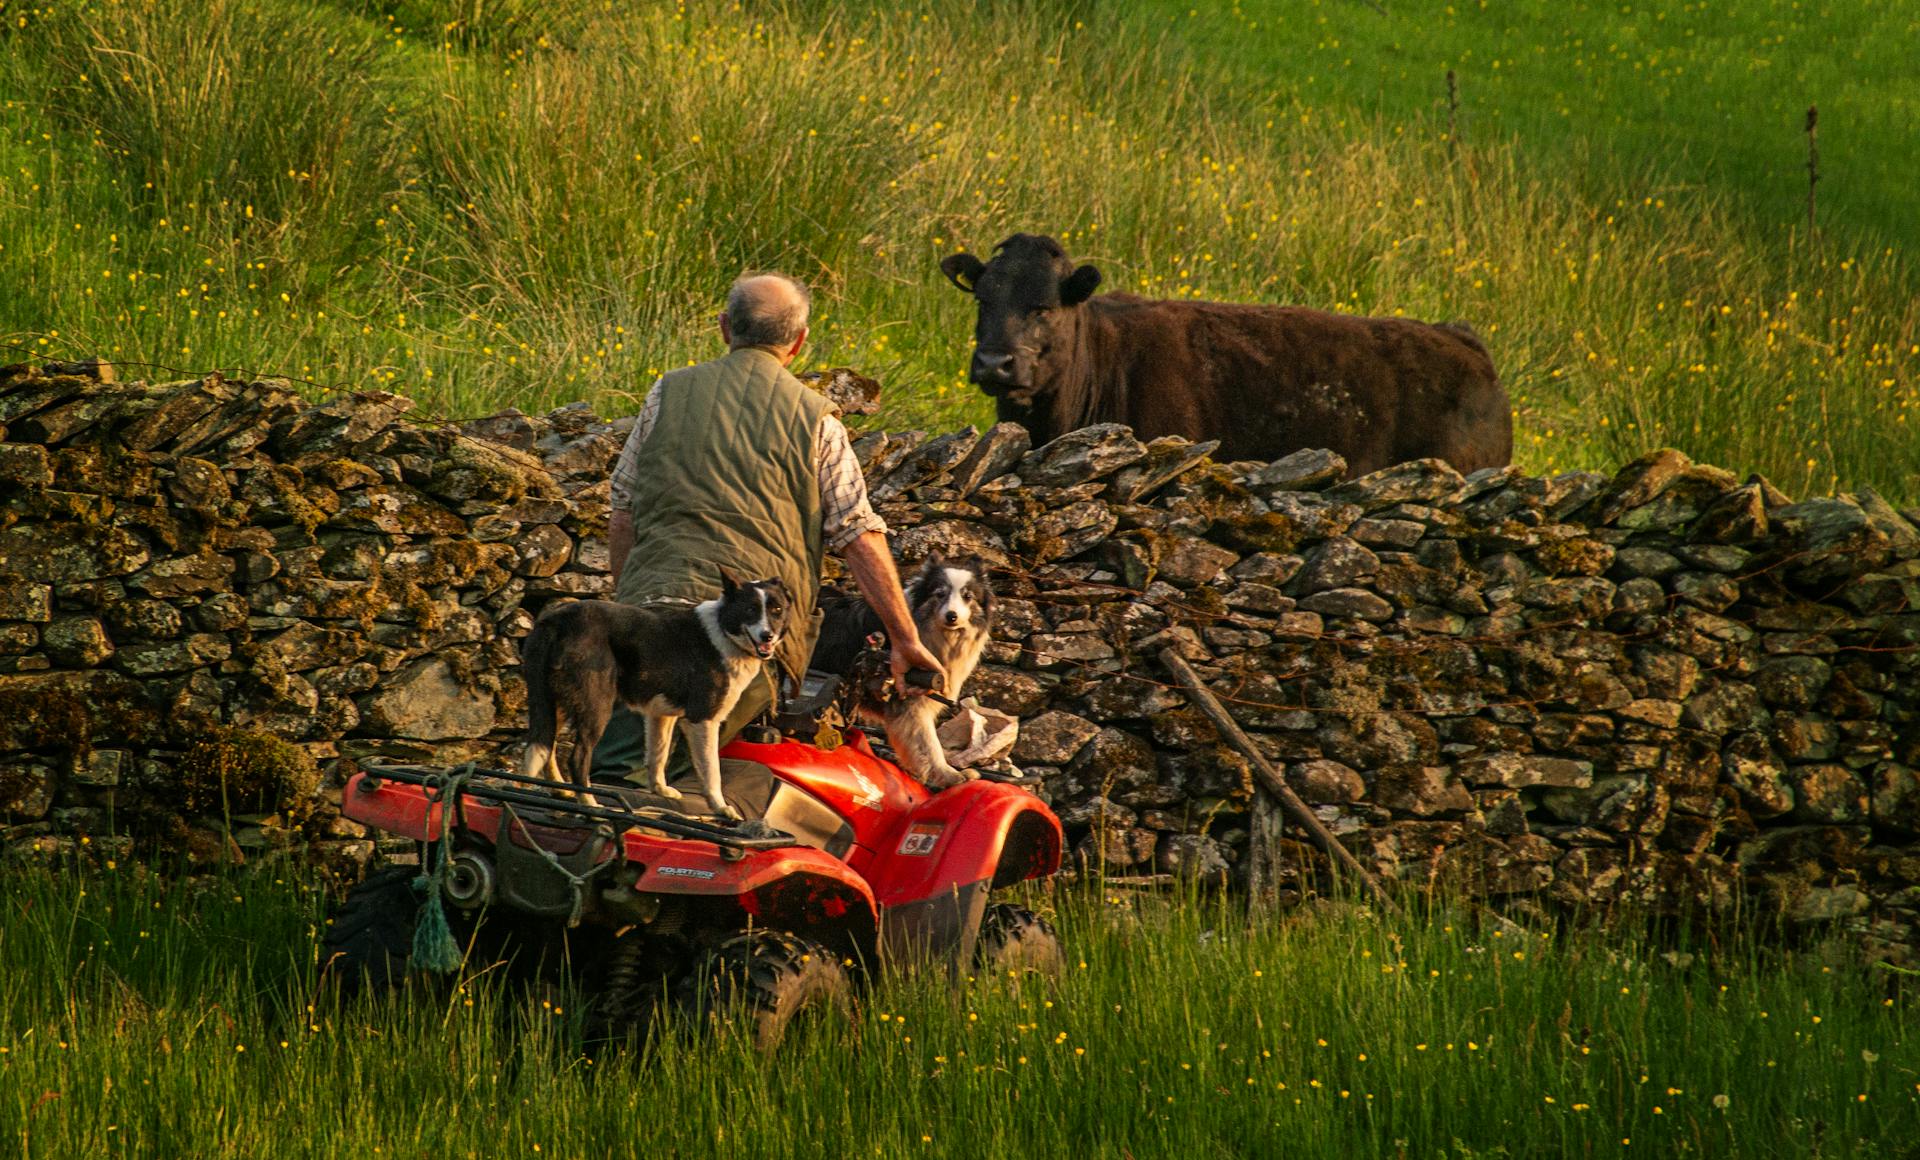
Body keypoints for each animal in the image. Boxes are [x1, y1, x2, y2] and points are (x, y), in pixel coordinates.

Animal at [514, 568, 791, 821]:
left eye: (777, 610)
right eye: (750, 610)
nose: (768, 636)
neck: (724, 630)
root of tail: (556, 620)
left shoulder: (661, 715)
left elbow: (658, 755)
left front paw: (661, 791)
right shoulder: (703, 719)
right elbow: (712, 771)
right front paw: (721, 808)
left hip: (553, 701)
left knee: (545, 745)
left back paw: (558, 792)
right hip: (596, 705)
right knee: (577, 757)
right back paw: (591, 805)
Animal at [806, 553, 990, 787]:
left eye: (968, 596)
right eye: (940, 593)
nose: (952, 616)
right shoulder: (910, 703)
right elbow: (928, 743)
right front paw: (948, 775)